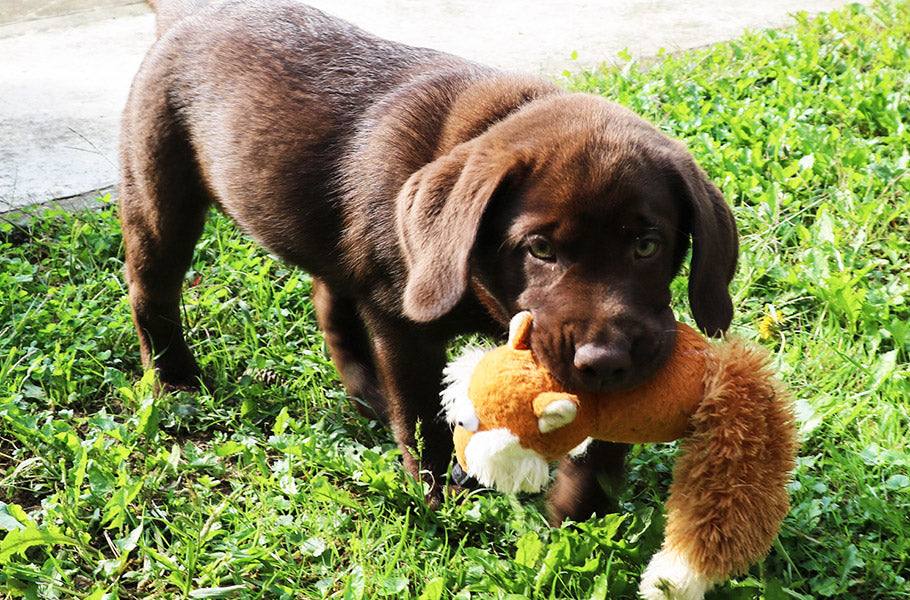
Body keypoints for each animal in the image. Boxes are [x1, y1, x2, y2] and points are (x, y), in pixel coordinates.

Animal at [121, 0, 736, 516]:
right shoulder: (403, 324)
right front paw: (442, 497)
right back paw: (175, 386)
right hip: (159, 191)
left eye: (647, 245)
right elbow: (423, 417)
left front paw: (577, 509)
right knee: (152, 289)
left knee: (329, 298)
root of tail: (192, 12)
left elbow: (606, 444)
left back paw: (367, 396)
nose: (604, 363)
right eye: (540, 249)